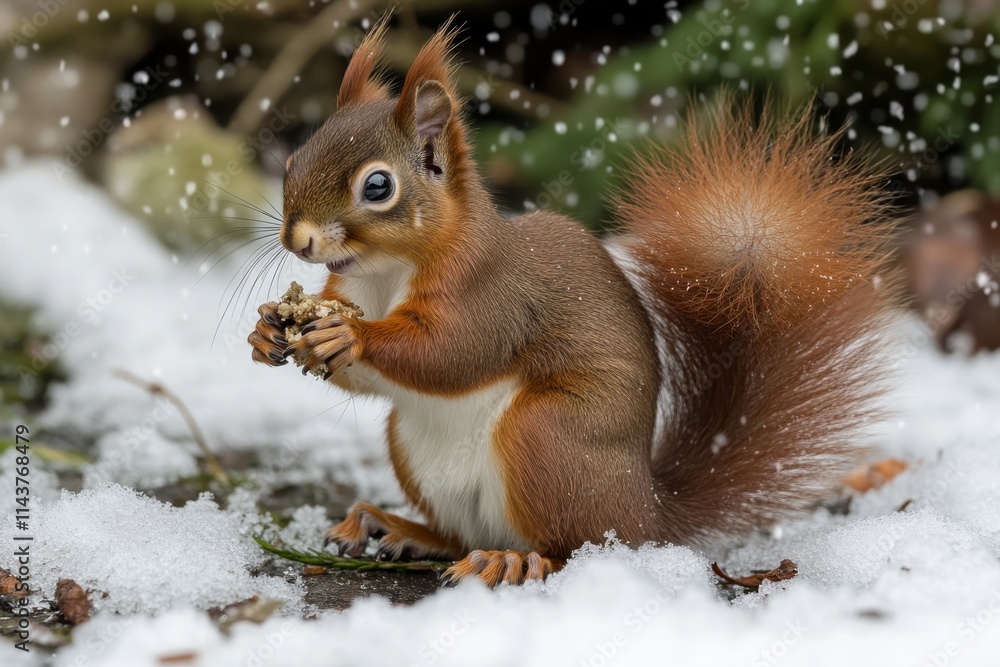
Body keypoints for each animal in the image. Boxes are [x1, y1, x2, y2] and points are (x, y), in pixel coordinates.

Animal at [248, 20, 897, 588]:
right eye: (294, 159)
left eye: (378, 186)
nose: (297, 240)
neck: (385, 275)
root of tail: (648, 513)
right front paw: (266, 333)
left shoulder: (492, 296)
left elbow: (452, 353)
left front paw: (350, 336)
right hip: (413, 446)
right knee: (462, 535)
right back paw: (399, 528)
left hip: (547, 438)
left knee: (577, 548)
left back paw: (514, 561)